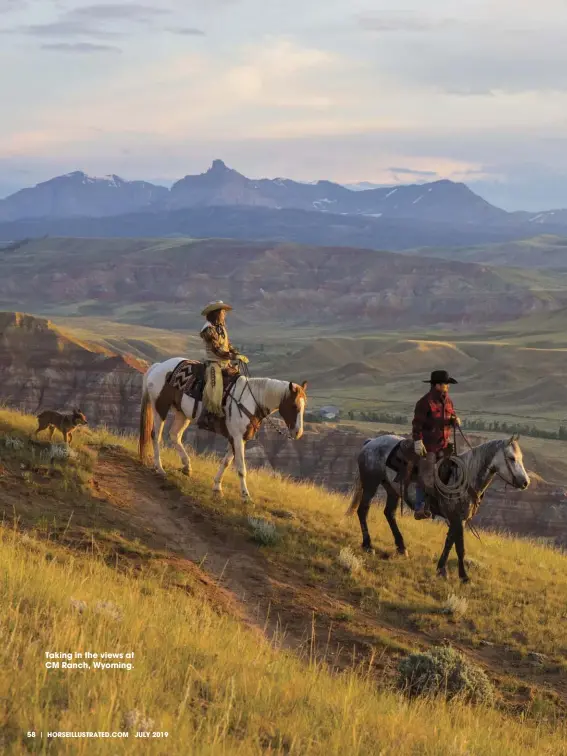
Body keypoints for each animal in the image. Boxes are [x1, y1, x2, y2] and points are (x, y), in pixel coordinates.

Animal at [138, 358, 308, 500]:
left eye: (304, 406)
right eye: (294, 406)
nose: (298, 432)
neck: (251, 401)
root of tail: (158, 366)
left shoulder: (238, 438)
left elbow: (226, 462)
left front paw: (217, 487)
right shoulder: (238, 438)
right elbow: (241, 467)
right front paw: (245, 496)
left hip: (182, 413)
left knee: (175, 435)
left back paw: (187, 466)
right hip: (160, 408)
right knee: (156, 435)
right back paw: (159, 468)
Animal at [346, 432, 532, 584]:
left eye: (521, 458)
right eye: (511, 458)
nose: (525, 483)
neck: (464, 476)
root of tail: (371, 442)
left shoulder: (459, 519)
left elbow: (450, 542)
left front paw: (442, 569)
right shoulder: (456, 518)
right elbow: (459, 547)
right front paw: (463, 576)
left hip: (392, 489)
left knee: (389, 513)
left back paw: (401, 547)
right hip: (371, 483)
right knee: (363, 510)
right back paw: (368, 545)